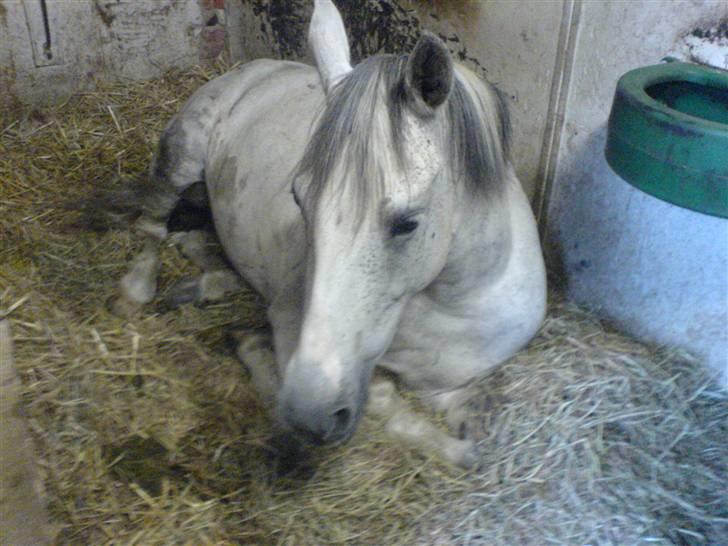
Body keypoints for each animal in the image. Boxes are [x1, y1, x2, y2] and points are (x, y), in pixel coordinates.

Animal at [112, 0, 546, 468]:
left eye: (406, 223)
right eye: (299, 200)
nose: (310, 414)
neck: (452, 309)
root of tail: (255, 68)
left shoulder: (448, 377)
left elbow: (471, 405)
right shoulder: (296, 338)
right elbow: (382, 402)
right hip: (180, 156)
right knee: (153, 228)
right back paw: (136, 291)